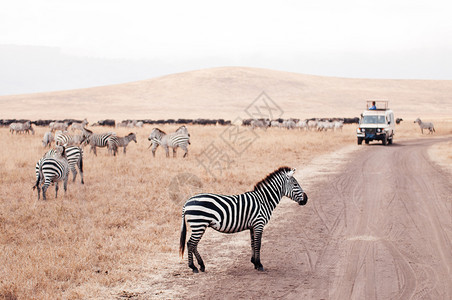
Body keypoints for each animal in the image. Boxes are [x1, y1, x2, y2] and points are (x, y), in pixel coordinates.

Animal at [179, 166, 308, 272]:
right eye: (295, 185)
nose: (306, 199)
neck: (264, 200)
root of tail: (187, 202)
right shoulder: (259, 223)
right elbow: (258, 244)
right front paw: (259, 265)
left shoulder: (252, 226)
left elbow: (252, 243)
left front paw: (254, 263)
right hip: (198, 224)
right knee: (190, 244)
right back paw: (193, 267)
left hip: (199, 225)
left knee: (193, 245)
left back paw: (201, 265)